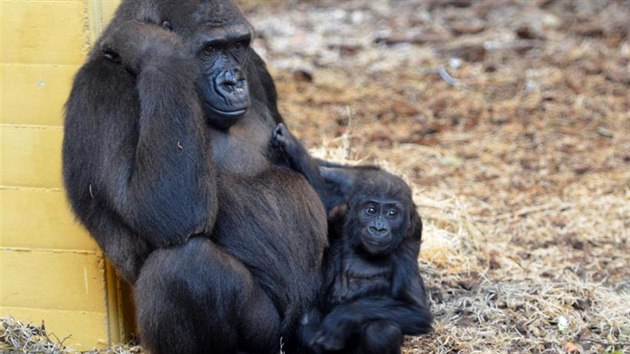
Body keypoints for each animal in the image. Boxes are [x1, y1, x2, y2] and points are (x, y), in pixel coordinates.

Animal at [63, 1, 330, 352]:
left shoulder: (256, 67)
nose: (234, 82)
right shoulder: (101, 89)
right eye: (211, 49)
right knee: (186, 264)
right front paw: (155, 48)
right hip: (273, 340)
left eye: (237, 45)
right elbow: (163, 211)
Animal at [272, 123, 434, 352]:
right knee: (307, 319)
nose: (378, 228)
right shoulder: (338, 216)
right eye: (371, 210)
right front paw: (292, 146)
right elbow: (320, 197)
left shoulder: (407, 245)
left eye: (392, 213)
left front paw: (342, 318)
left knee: (382, 329)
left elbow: (416, 311)